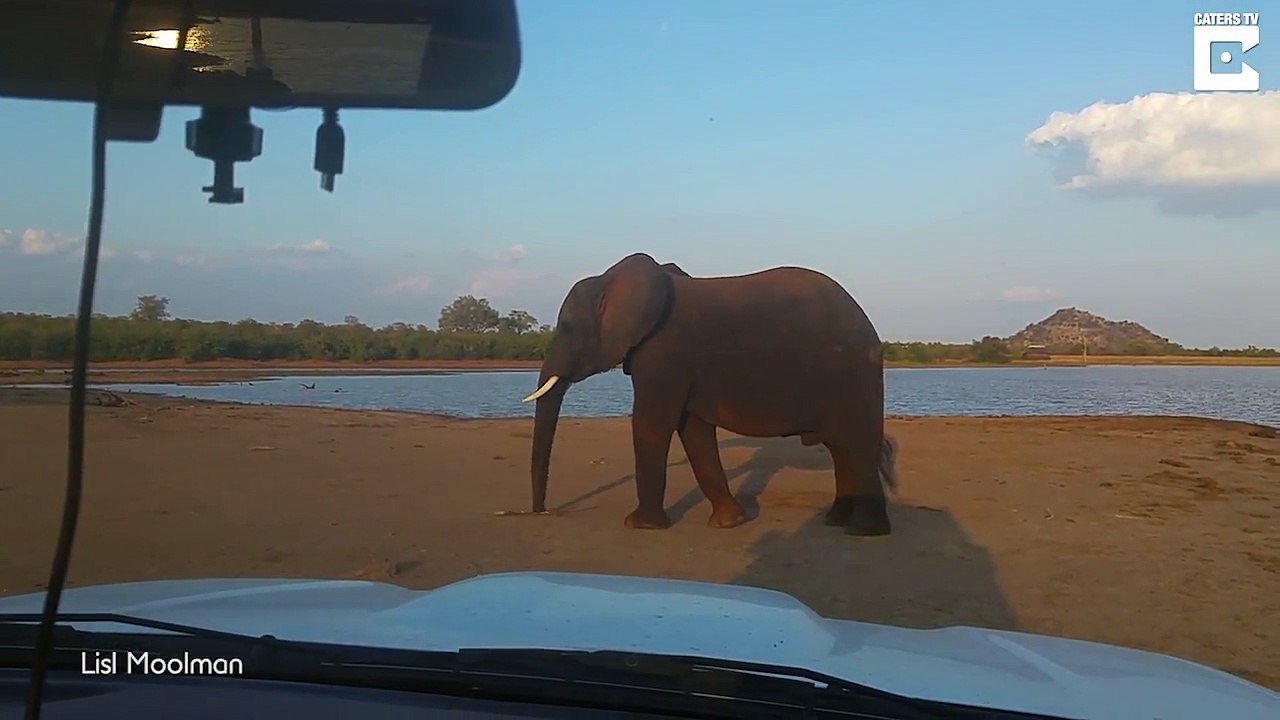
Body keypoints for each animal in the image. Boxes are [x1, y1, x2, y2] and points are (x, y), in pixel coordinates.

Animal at [521, 252, 897, 536]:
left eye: (567, 327)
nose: (541, 512)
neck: (612, 279)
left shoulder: (663, 355)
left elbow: (652, 424)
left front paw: (640, 526)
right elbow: (694, 431)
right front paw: (731, 523)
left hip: (852, 375)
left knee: (854, 445)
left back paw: (864, 532)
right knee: (842, 449)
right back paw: (835, 521)